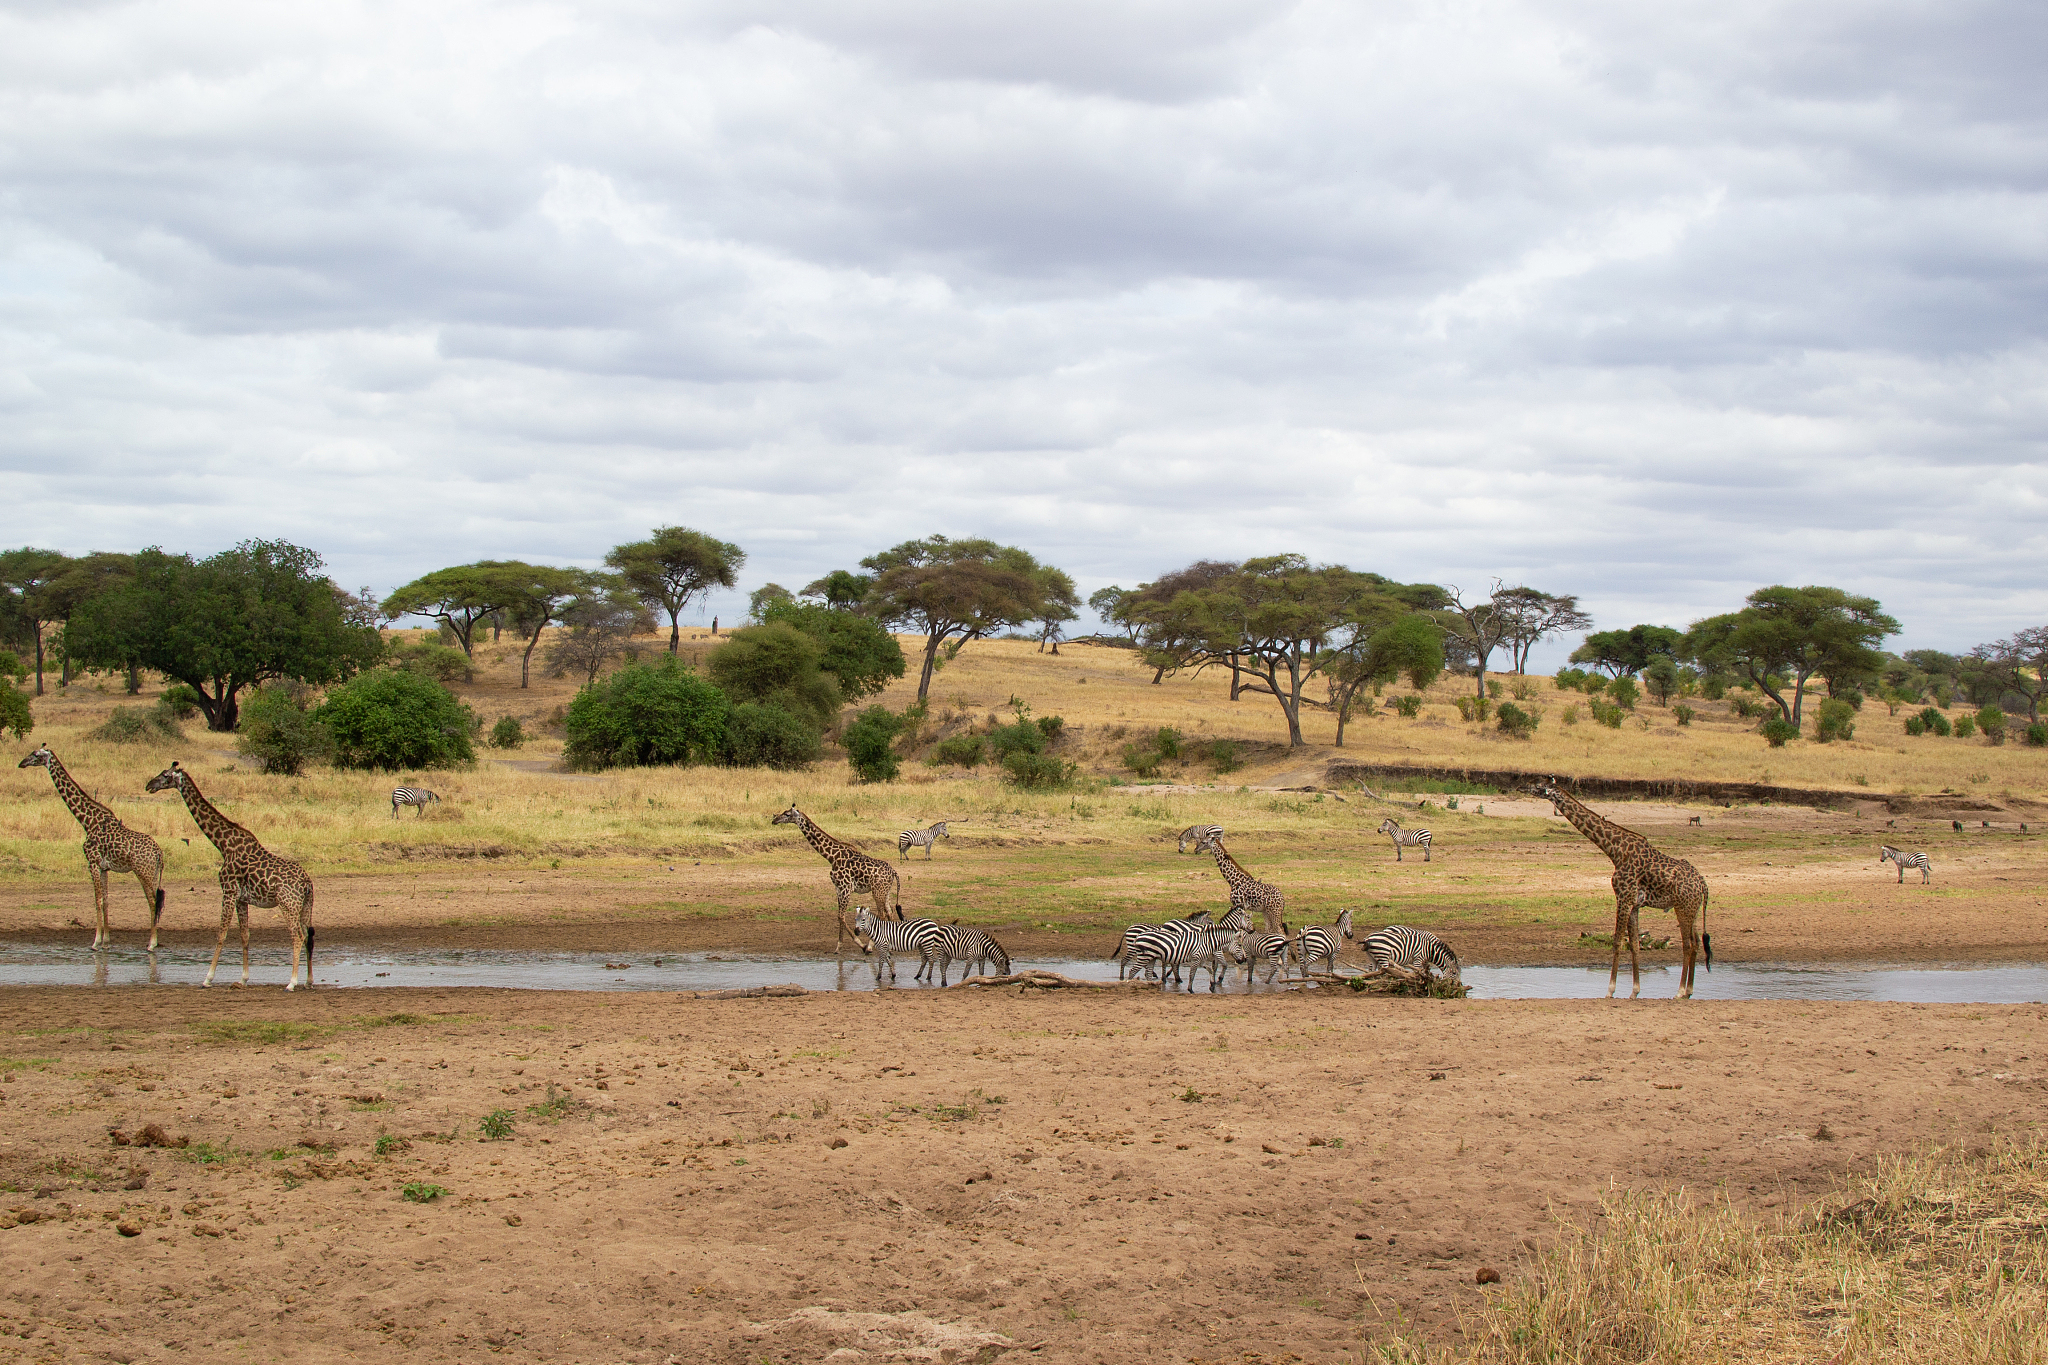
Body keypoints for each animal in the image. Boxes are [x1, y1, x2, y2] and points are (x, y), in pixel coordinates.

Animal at [17, 745, 167, 950]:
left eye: (35, 754)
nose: (21, 763)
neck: (88, 821)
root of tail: (159, 852)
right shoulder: (104, 868)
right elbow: (106, 900)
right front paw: (106, 941)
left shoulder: (93, 863)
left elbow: (97, 900)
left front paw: (95, 942)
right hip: (153, 872)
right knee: (156, 901)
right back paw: (154, 941)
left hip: (142, 871)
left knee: (151, 901)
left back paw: (151, 944)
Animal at [144, 761, 315, 990]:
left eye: (165, 775)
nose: (149, 785)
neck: (223, 844)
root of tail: (307, 883)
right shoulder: (241, 898)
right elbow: (244, 935)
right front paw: (243, 979)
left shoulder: (228, 891)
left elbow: (221, 933)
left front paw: (207, 978)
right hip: (305, 906)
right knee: (307, 936)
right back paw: (308, 980)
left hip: (287, 904)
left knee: (297, 936)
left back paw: (291, 982)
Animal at [771, 804, 903, 955]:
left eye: (787, 814)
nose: (774, 820)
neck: (832, 857)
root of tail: (893, 872)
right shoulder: (838, 889)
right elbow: (840, 916)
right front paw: (838, 947)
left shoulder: (846, 888)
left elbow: (841, 916)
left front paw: (862, 945)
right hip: (885, 892)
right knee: (889, 913)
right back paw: (889, 946)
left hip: (877, 892)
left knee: (882, 915)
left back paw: (870, 946)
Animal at [1530, 779, 1711, 1000]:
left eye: (1539, 786)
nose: (1526, 787)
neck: (1615, 850)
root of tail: (1703, 883)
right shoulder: (1634, 904)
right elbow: (1634, 945)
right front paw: (1634, 992)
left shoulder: (1623, 897)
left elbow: (1617, 941)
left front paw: (1610, 991)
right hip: (1692, 909)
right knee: (1696, 943)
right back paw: (1689, 991)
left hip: (1683, 908)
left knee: (1688, 944)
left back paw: (1680, 992)